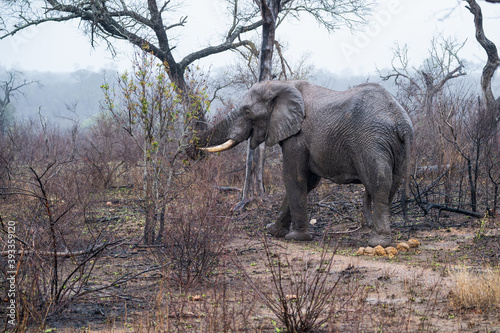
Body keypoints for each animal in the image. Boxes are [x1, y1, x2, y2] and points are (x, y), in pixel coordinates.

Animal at [195, 80, 414, 246]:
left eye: (247, 111)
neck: (282, 84)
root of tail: (402, 123)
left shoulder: (298, 137)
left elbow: (294, 177)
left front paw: (296, 238)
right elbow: (308, 182)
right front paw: (273, 231)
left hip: (371, 141)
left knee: (378, 184)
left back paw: (377, 243)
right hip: (395, 147)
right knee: (391, 185)